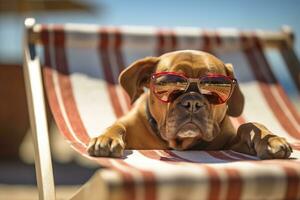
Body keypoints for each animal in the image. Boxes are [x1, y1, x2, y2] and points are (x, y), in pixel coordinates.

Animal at [86, 49, 292, 159]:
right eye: (168, 82)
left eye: (215, 84)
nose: (192, 101)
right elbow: (117, 126)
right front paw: (107, 138)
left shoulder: (230, 142)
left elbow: (250, 125)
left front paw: (270, 138)